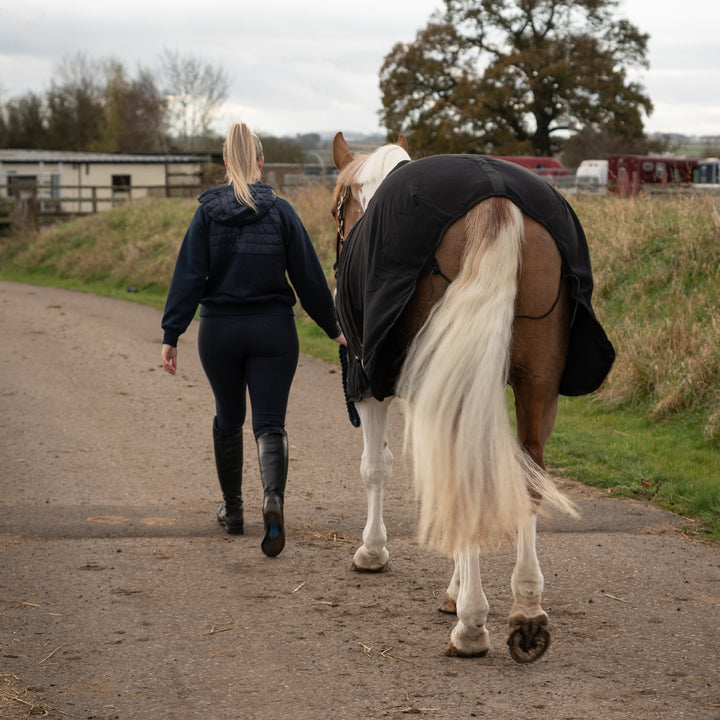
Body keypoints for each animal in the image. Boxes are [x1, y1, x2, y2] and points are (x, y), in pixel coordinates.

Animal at [330, 131, 612, 664]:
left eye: (338, 209)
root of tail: (495, 196)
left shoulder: (371, 382)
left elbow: (376, 467)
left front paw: (374, 552)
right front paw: (456, 589)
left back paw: (472, 624)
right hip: (537, 384)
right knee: (528, 473)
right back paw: (526, 607)